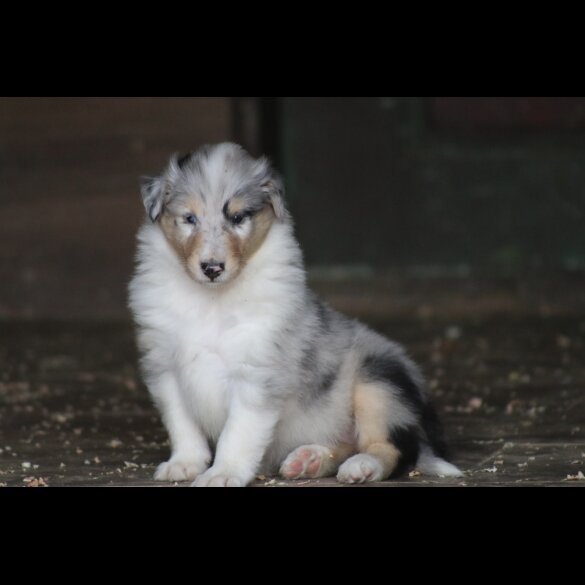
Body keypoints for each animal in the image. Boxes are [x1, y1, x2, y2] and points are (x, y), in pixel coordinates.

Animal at [128, 141, 460, 484]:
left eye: (238, 217)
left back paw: (361, 466)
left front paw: (222, 473)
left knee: (392, 449)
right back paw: (309, 460)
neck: (211, 300)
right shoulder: (166, 368)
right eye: (189, 218)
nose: (212, 268)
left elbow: (237, 433)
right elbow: (182, 424)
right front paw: (184, 463)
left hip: (380, 381)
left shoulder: (257, 374)